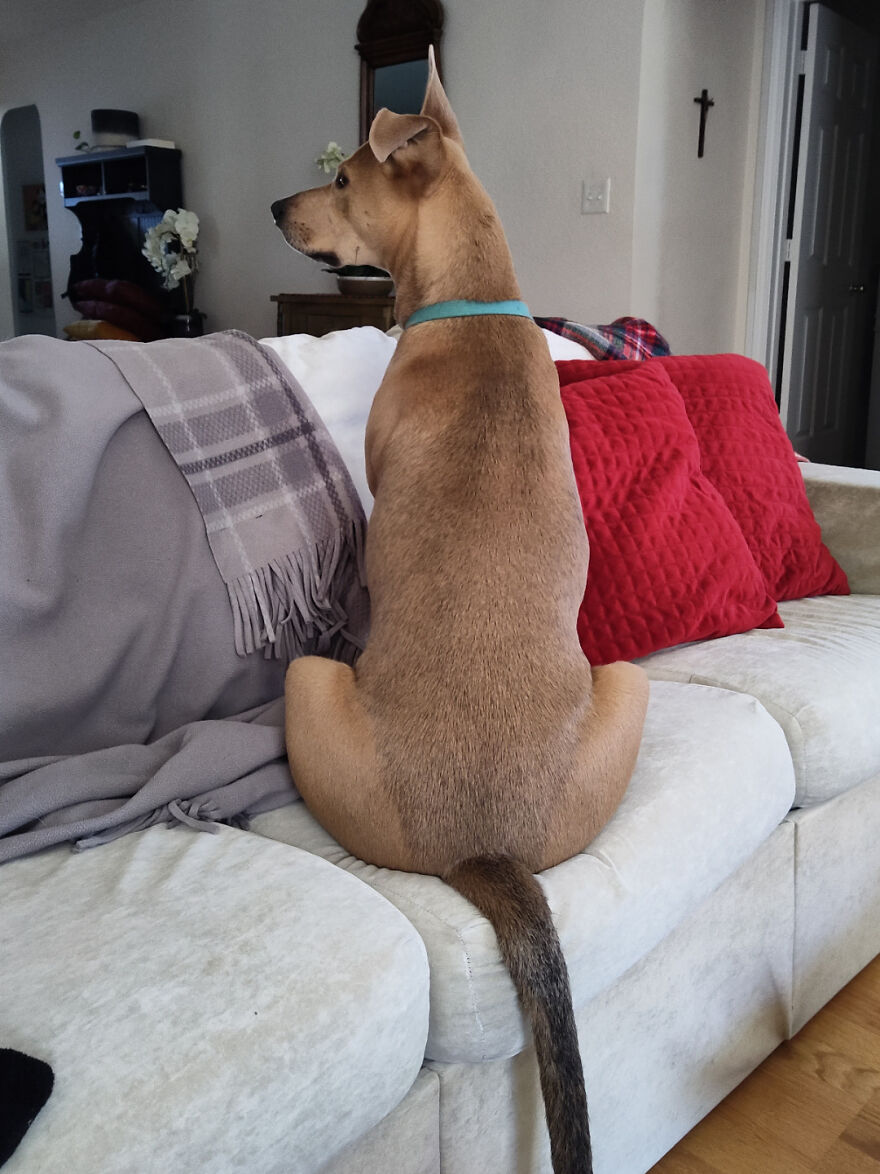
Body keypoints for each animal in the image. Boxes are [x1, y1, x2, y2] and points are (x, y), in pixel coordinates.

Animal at [272, 52, 652, 1174]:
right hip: (625, 683)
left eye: (342, 179)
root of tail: (481, 846)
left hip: (305, 679)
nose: (275, 208)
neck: (471, 299)